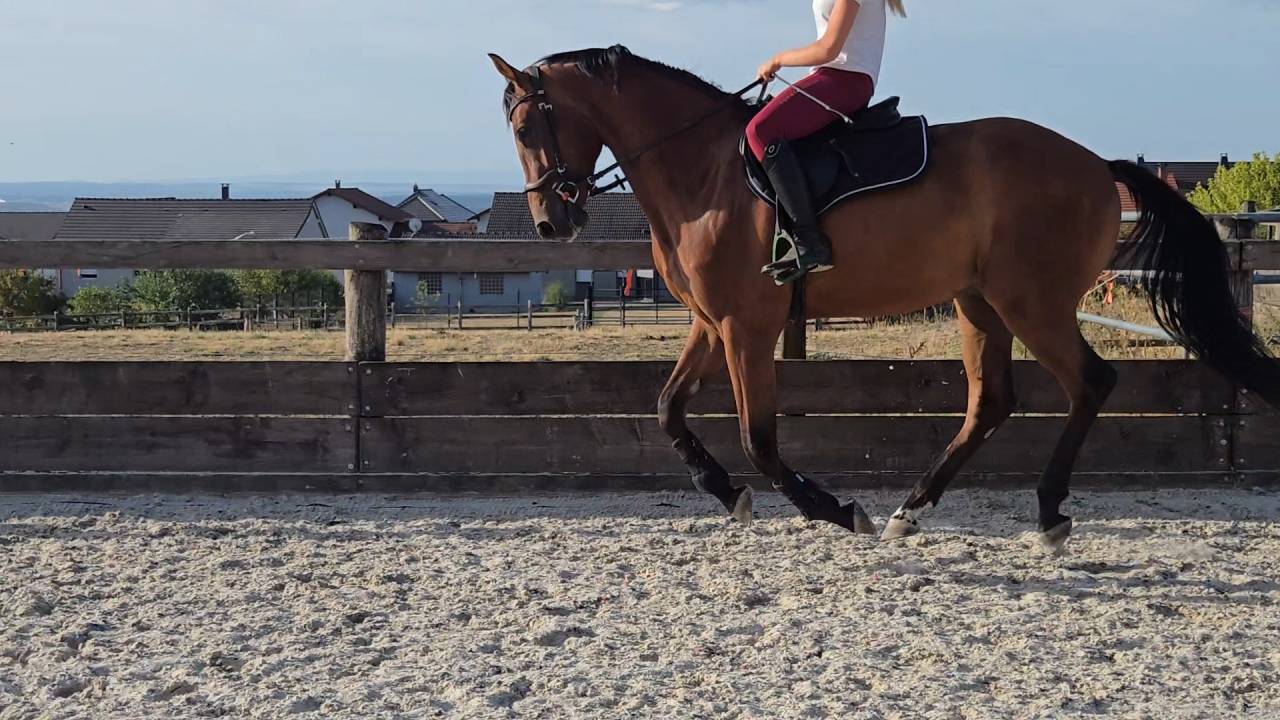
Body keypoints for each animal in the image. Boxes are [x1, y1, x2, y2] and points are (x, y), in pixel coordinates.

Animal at [487, 46, 1279, 552]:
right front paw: (726, 492)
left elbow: (760, 439)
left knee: (1091, 382)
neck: (704, 171)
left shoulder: (747, 326)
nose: (551, 222)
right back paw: (913, 509)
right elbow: (666, 410)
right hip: (979, 303)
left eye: (527, 126)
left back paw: (1048, 513)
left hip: (1033, 302)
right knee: (990, 403)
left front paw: (836, 510)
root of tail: (1093, 163)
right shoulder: (711, 324)